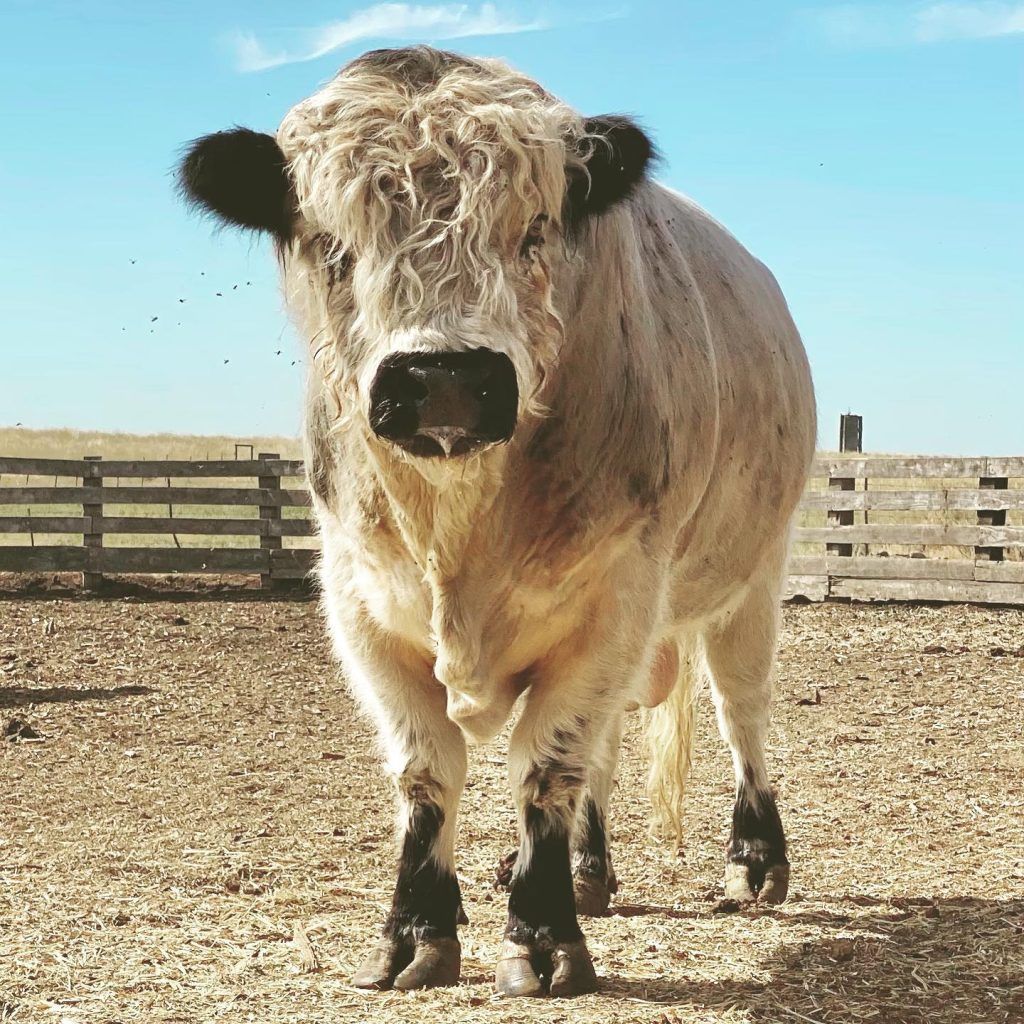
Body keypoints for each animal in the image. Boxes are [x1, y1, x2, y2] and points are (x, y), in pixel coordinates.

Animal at [178, 45, 816, 998]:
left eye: (534, 231)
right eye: (333, 243)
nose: (443, 375)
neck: (458, 535)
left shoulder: (617, 594)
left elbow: (547, 765)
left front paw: (543, 937)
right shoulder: (358, 602)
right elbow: (427, 767)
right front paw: (418, 929)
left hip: (753, 575)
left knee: (741, 707)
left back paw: (753, 860)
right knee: (610, 745)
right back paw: (590, 872)